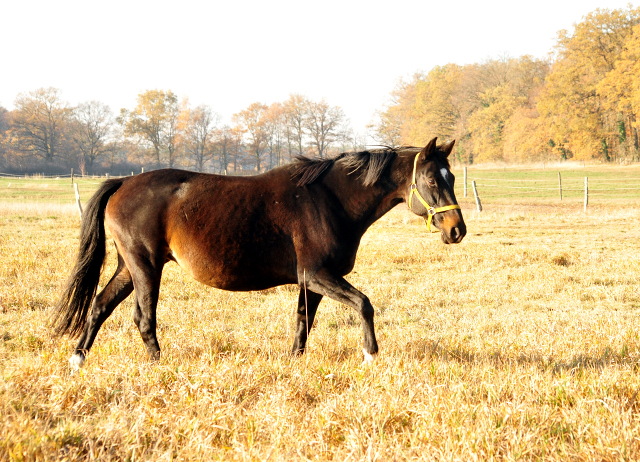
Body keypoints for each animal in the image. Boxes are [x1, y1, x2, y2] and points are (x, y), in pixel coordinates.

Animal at [53, 137, 464, 368]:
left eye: (453, 177)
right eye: (432, 179)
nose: (456, 230)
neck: (329, 199)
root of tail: (124, 182)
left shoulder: (310, 283)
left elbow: (302, 325)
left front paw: (294, 363)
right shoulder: (318, 275)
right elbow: (364, 304)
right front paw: (370, 355)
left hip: (130, 266)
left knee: (99, 306)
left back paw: (77, 359)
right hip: (145, 267)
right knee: (143, 318)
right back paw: (158, 365)